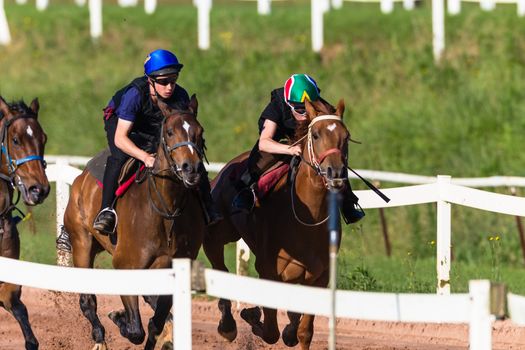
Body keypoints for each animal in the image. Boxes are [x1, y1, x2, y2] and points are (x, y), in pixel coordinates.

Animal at [63, 95, 207, 350]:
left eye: (199, 132)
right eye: (170, 132)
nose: (192, 168)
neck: (166, 210)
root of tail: (81, 178)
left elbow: (154, 324)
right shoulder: (126, 265)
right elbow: (135, 330)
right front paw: (119, 317)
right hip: (82, 242)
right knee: (87, 300)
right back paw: (99, 336)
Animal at [203, 98, 350, 350]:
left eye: (346, 136)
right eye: (316, 135)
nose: (336, 172)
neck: (307, 223)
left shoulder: (319, 278)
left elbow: (303, 332)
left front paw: (292, 327)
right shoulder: (268, 270)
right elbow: (271, 331)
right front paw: (252, 315)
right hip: (216, 234)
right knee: (219, 267)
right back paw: (228, 325)